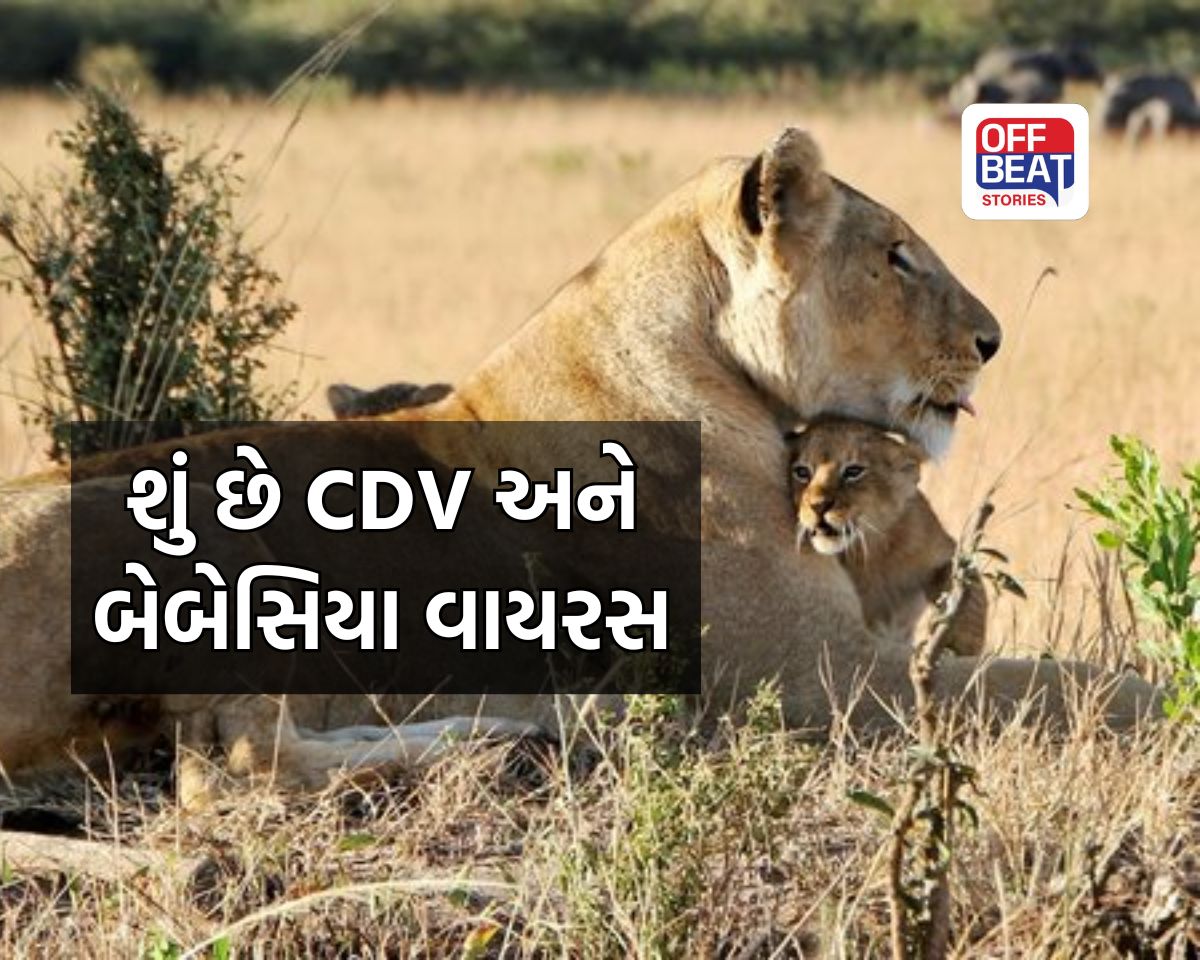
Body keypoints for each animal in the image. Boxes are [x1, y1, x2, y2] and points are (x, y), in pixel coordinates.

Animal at [786, 417, 986, 656]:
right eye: (801, 472)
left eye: (853, 471)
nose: (818, 506)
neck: (869, 554)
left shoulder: (941, 549)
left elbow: (965, 583)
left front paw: (961, 640)